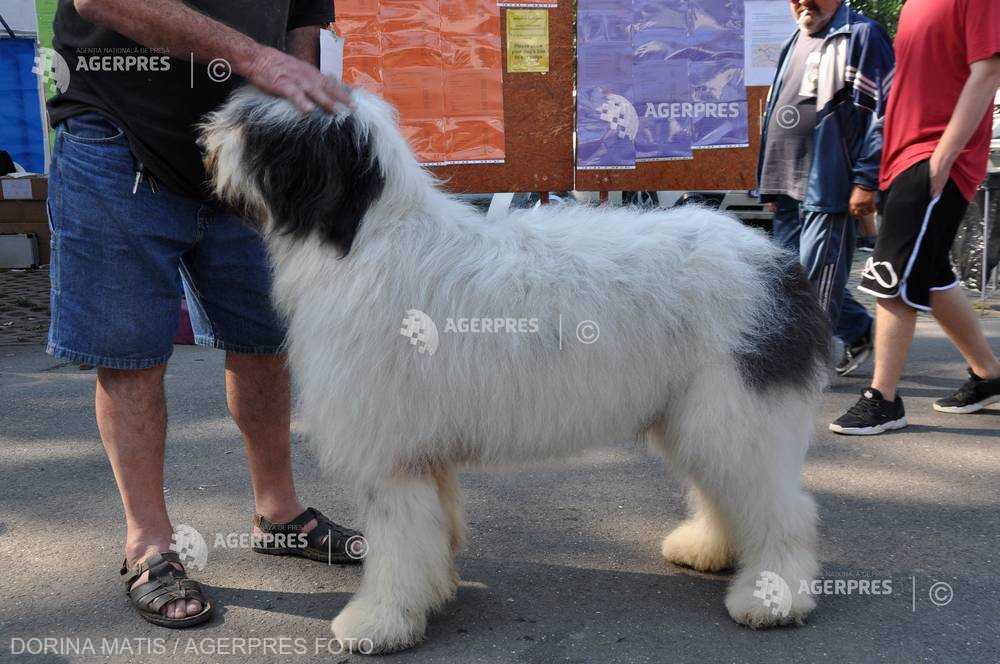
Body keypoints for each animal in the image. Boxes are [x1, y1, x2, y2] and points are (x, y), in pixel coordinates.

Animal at [201, 87, 828, 652]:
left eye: (259, 130)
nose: (206, 139)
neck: (360, 237)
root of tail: (777, 263)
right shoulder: (420, 445)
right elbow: (431, 529)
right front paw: (433, 591)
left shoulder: (391, 447)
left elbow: (398, 541)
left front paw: (379, 622)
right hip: (697, 414)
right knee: (724, 490)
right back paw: (708, 548)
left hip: (735, 409)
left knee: (783, 509)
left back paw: (772, 598)